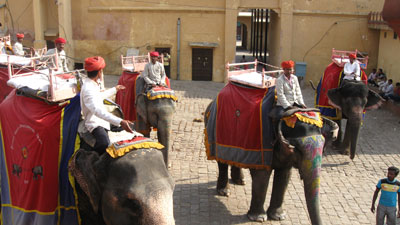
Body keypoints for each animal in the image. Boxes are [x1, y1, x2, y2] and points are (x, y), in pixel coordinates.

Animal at [205, 98, 340, 225]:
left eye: (323, 148)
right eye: (298, 149)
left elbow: (284, 176)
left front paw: (278, 217)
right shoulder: (261, 146)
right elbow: (262, 177)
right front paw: (259, 218)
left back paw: (240, 181)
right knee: (221, 161)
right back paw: (224, 191)